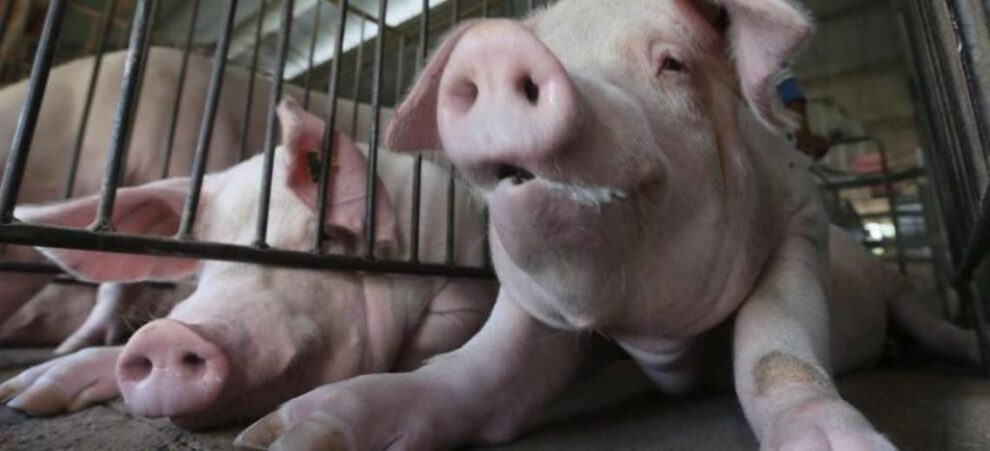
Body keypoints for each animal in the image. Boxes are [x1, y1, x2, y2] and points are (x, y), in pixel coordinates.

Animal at [231, 2, 982, 450]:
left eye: (672, 63)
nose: (495, 47)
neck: (664, 340)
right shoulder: (535, 307)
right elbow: (477, 374)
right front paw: (284, 434)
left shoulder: (802, 224)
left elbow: (773, 350)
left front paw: (847, 444)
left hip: (896, 287)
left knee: (928, 320)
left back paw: (970, 348)